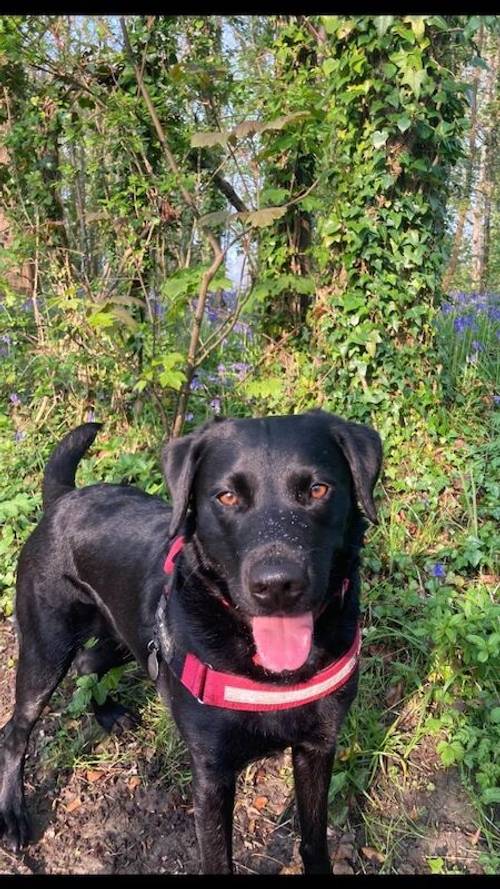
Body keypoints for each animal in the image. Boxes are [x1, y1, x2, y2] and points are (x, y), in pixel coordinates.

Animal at [0, 412, 382, 872]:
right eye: (227, 496)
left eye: (318, 489)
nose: (276, 585)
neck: (268, 673)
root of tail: (64, 498)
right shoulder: (212, 773)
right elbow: (218, 860)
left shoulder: (317, 747)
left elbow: (313, 841)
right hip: (45, 650)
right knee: (15, 731)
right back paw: (13, 816)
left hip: (129, 634)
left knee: (87, 663)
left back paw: (109, 714)